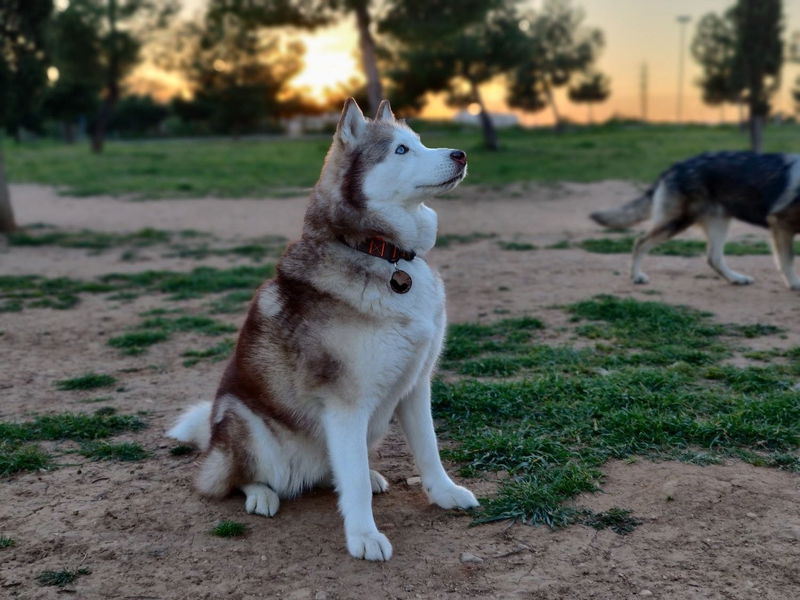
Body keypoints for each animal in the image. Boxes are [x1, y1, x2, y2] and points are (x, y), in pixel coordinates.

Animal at [168, 99, 478, 564]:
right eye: (401, 150)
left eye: (421, 142)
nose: (460, 154)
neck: (383, 254)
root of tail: (214, 439)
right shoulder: (345, 402)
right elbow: (354, 485)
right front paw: (364, 536)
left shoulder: (415, 384)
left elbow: (429, 450)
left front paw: (445, 494)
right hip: (246, 424)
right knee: (229, 479)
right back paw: (261, 494)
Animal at [588, 151, 800, 290]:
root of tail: (675, 166)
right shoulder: (781, 225)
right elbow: (787, 260)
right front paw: (794, 284)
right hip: (677, 223)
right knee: (640, 242)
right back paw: (636, 277)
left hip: (718, 224)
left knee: (714, 258)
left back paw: (736, 278)